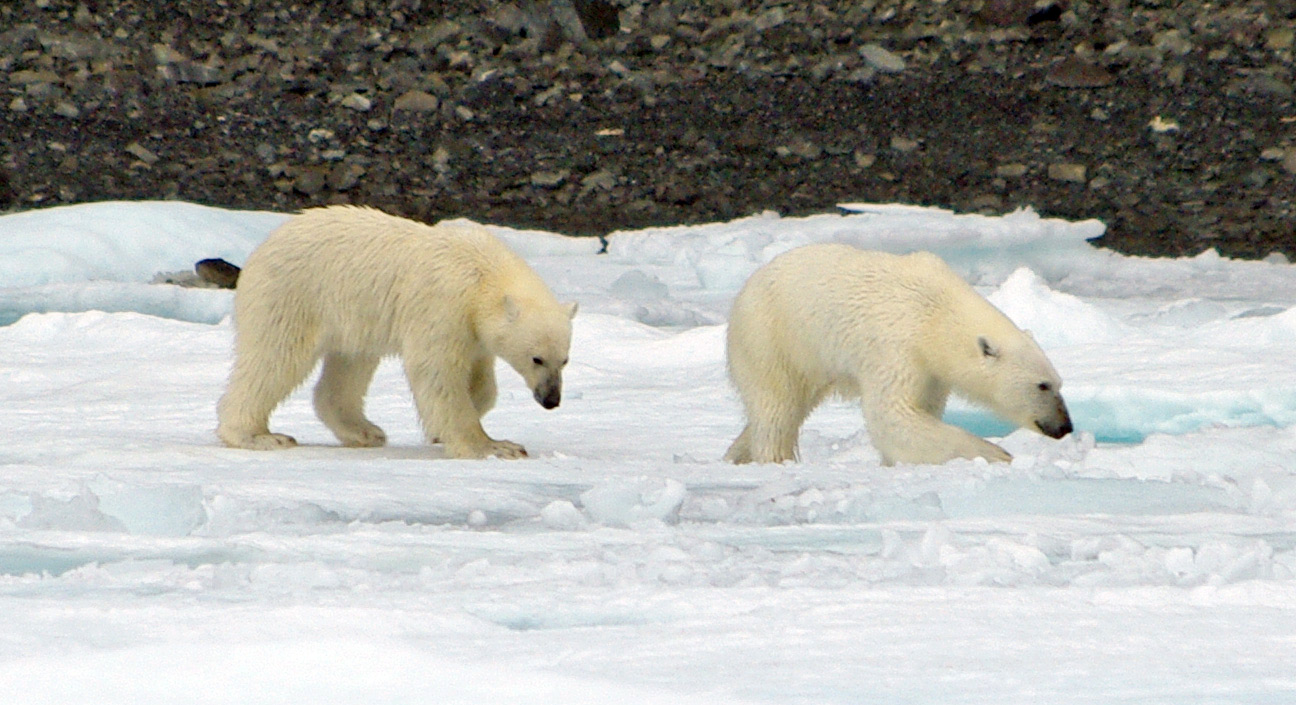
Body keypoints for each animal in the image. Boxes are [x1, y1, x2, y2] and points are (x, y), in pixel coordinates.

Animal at [216, 204, 578, 456]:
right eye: (536, 358)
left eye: (564, 360)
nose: (551, 399)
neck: (483, 274)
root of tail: (260, 249)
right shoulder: (443, 306)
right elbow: (436, 371)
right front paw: (493, 446)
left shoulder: (472, 330)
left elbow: (481, 381)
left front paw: (443, 429)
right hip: (292, 296)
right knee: (275, 358)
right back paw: (258, 436)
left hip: (351, 315)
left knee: (349, 365)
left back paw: (364, 431)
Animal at [720, 244, 1073, 466]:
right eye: (1042, 385)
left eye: (1059, 383)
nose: (1065, 426)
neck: (936, 315)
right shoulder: (897, 346)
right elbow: (892, 414)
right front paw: (996, 454)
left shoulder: (932, 372)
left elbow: (922, 410)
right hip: (772, 339)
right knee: (776, 409)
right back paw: (774, 459)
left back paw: (735, 454)